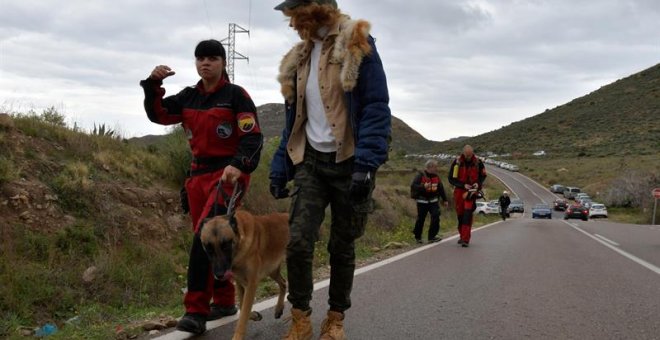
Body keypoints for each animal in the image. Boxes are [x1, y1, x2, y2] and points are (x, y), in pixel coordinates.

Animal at [201, 210, 288, 340]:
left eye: (225, 245)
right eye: (208, 248)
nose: (219, 275)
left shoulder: (251, 284)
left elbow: (244, 313)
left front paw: (237, 336)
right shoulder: (240, 283)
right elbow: (242, 306)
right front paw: (254, 315)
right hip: (272, 270)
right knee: (283, 283)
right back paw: (279, 308)